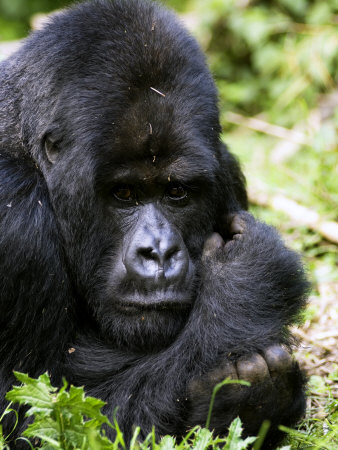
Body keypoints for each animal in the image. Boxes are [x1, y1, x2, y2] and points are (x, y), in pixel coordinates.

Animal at [0, 0, 308, 448]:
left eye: (176, 192)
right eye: (123, 194)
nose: (159, 253)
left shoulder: (224, 168)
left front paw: (260, 399)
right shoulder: (14, 221)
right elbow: (41, 418)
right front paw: (247, 282)